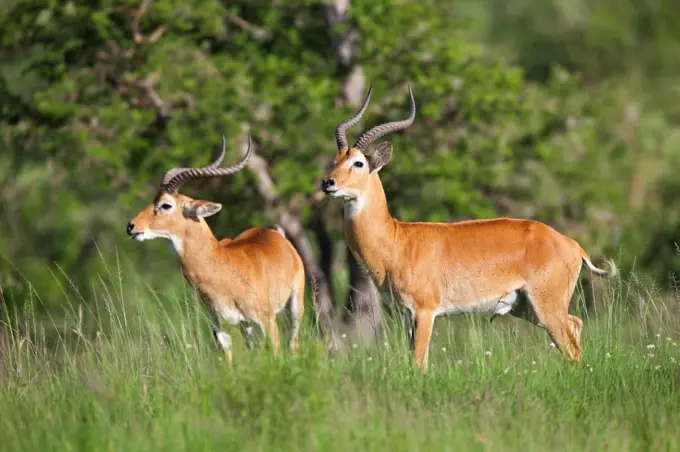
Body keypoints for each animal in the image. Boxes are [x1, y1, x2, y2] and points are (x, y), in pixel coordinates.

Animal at [127, 135, 306, 364]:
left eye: (166, 205)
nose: (131, 226)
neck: (222, 265)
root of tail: (276, 233)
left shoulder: (267, 322)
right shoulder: (220, 327)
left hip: (294, 307)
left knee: (293, 345)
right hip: (245, 327)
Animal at [322, 85, 620, 370]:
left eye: (358, 163)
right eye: (335, 160)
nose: (327, 183)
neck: (397, 239)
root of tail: (572, 245)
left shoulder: (425, 311)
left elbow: (419, 363)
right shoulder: (408, 315)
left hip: (546, 307)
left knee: (572, 349)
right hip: (526, 308)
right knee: (576, 325)